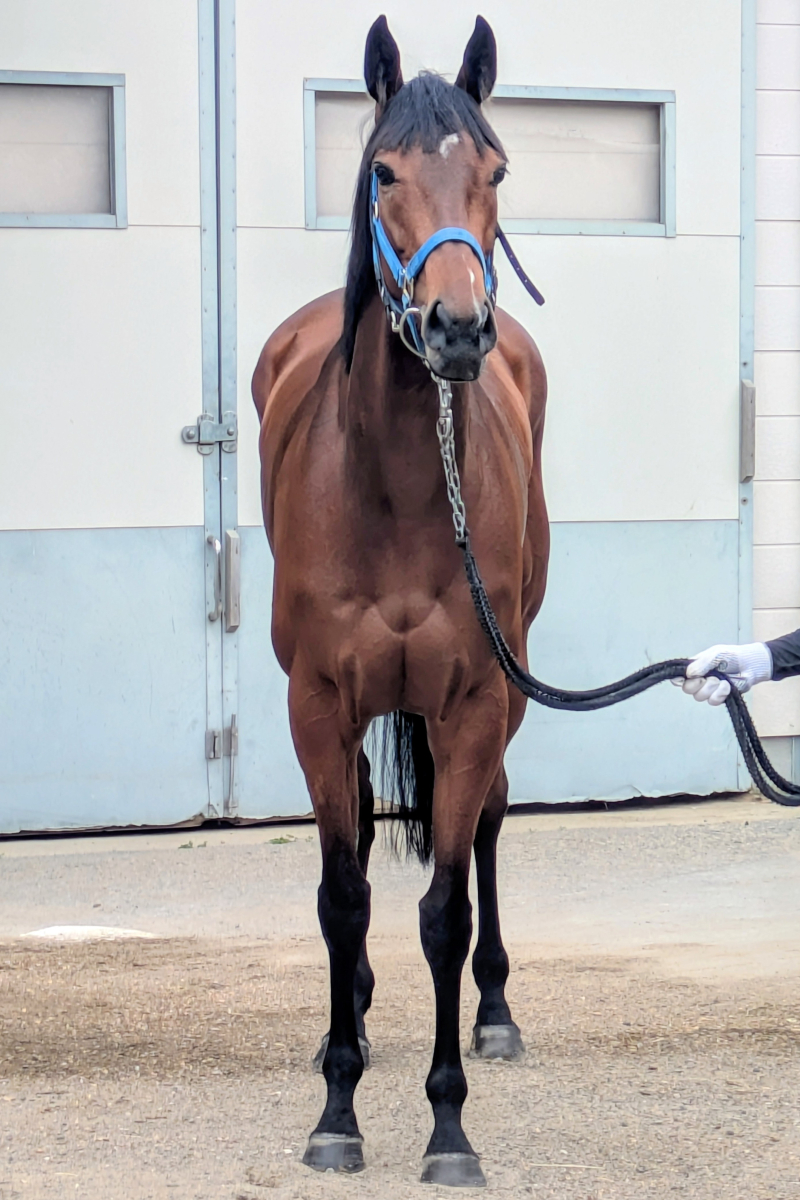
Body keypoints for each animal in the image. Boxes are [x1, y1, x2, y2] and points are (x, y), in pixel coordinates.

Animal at [252, 14, 548, 1188]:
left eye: (496, 171)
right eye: (383, 172)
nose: (457, 328)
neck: (397, 488)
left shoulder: (472, 704)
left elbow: (443, 912)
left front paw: (448, 1126)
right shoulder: (317, 706)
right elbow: (344, 900)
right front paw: (336, 1109)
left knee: (492, 825)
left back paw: (495, 1013)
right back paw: (361, 1020)